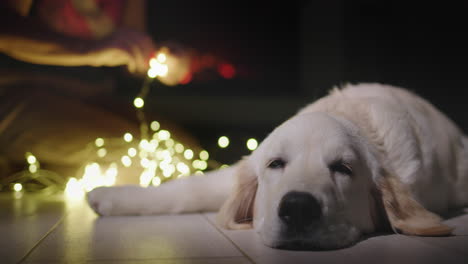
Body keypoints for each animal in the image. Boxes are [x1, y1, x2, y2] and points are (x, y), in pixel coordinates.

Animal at [88, 83, 468, 250]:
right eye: (275, 163)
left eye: (343, 168)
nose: (298, 208)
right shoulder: (241, 168)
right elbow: (188, 188)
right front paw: (108, 196)